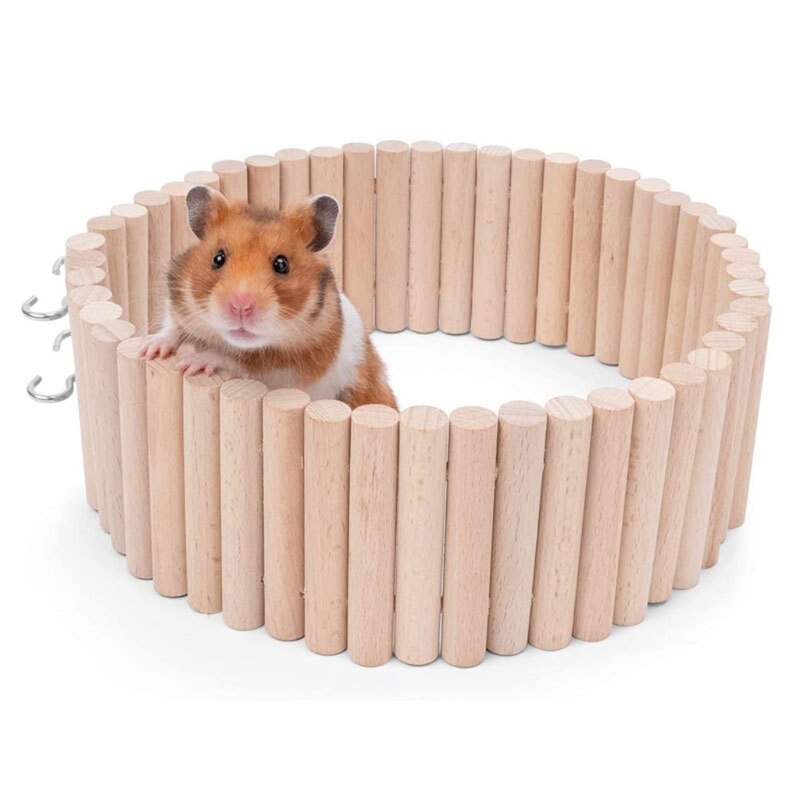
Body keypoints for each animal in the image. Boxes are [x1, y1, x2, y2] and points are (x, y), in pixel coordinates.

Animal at [139, 186, 397, 410]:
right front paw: (149, 349)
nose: (241, 306)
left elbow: (237, 361)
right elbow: (172, 326)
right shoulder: (179, 299)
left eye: (282, 264)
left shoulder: (286, 371)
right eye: (218, 258)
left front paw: (192, 364)